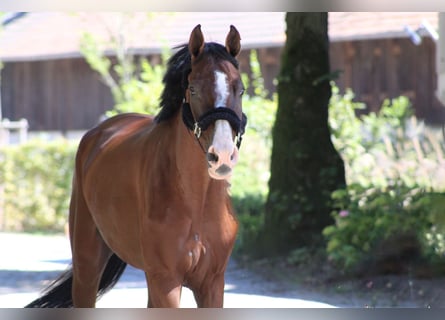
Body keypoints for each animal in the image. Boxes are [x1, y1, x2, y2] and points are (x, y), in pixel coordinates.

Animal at [25, 24, 246, 308]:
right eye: (194, 89)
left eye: (240, 89)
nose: (223, 155)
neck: (196, 203)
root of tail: (100, 132)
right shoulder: (166, 280)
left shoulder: (212, 283)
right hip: (88, 265)